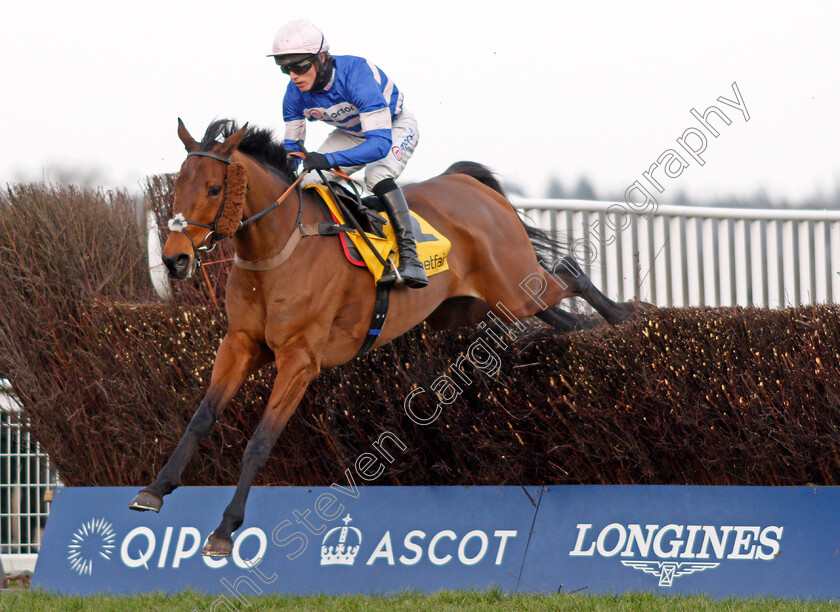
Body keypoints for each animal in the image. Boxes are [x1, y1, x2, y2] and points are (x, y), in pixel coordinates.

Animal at [128, 118, 632, 556]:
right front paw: (155, 489)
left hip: (513, 284)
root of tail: (468, 183)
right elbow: (201, 418)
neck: (278, 249)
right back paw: (596, 329)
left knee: (569, 270)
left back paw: (625, 316)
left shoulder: (300, 360)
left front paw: (225, 530)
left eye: (214, 189)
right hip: (474, 305)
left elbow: (260, 442)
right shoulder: (240, 345)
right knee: (559, 313)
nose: (174, 259)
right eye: (178, 186)